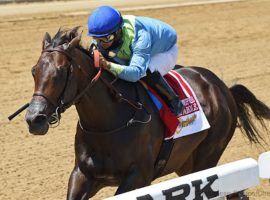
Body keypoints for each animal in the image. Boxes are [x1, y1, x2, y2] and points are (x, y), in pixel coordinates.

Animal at [25, 27, 270, 199]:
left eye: (60, 72)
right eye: (34, 71)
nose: (34, 119)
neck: (108, 123)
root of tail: (222, 88)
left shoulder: (138, 177)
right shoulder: (82, 175)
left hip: (208, 153)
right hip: (185, 162)